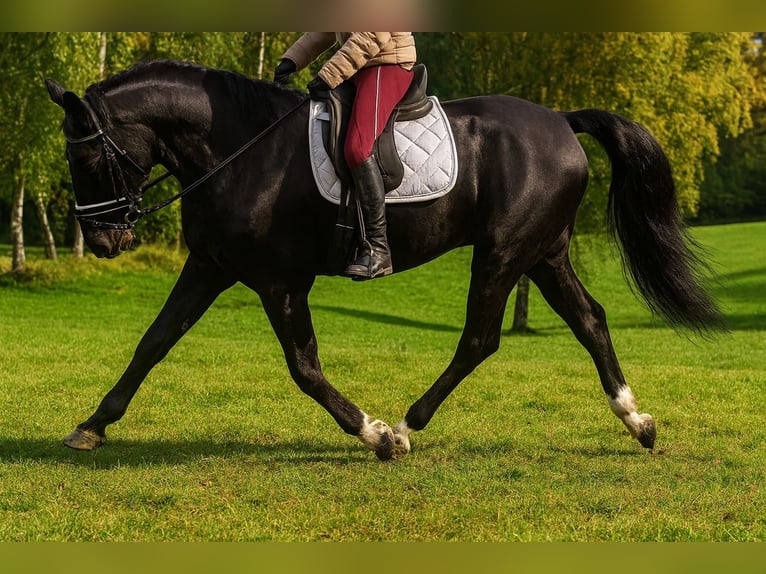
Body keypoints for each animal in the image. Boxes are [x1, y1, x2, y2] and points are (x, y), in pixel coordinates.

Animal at [45, 59, 722, 461]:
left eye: (85, 157)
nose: (103, 241)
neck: (239, 151)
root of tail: (560, 120)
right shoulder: (211, 266)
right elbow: (154, 342)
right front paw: (92, 425)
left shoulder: (279, 281)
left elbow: (304, 367)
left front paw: (372, 433)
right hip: (544, 254)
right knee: (590, 321)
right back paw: (637, 421)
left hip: (504, 251)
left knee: (480, 338)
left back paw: (406, 425)